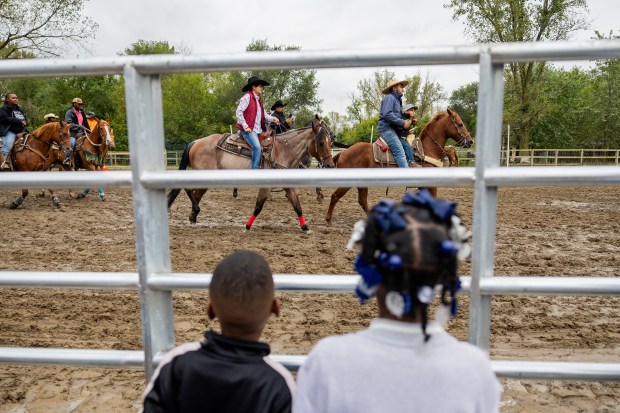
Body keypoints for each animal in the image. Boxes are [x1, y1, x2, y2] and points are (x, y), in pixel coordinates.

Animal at [166, 116, 334, 232]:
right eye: (320, 143)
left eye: (330, 142)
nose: (330, 165)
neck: (282, 151)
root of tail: (195, 142)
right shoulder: (266, 187)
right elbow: (258, 207)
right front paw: (247, 226)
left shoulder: (289, 185)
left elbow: (297, 206)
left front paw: (305, 227)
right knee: (189, 189)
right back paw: (196, 211)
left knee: (195, 194)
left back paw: (193, 216)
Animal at [324, 108, 474, 225]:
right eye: (460, 124)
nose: (470, 141)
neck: (426, 150)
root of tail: (343, 152)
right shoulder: (429, 185)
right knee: (335, 196)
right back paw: (328, 221)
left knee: (362, 201)